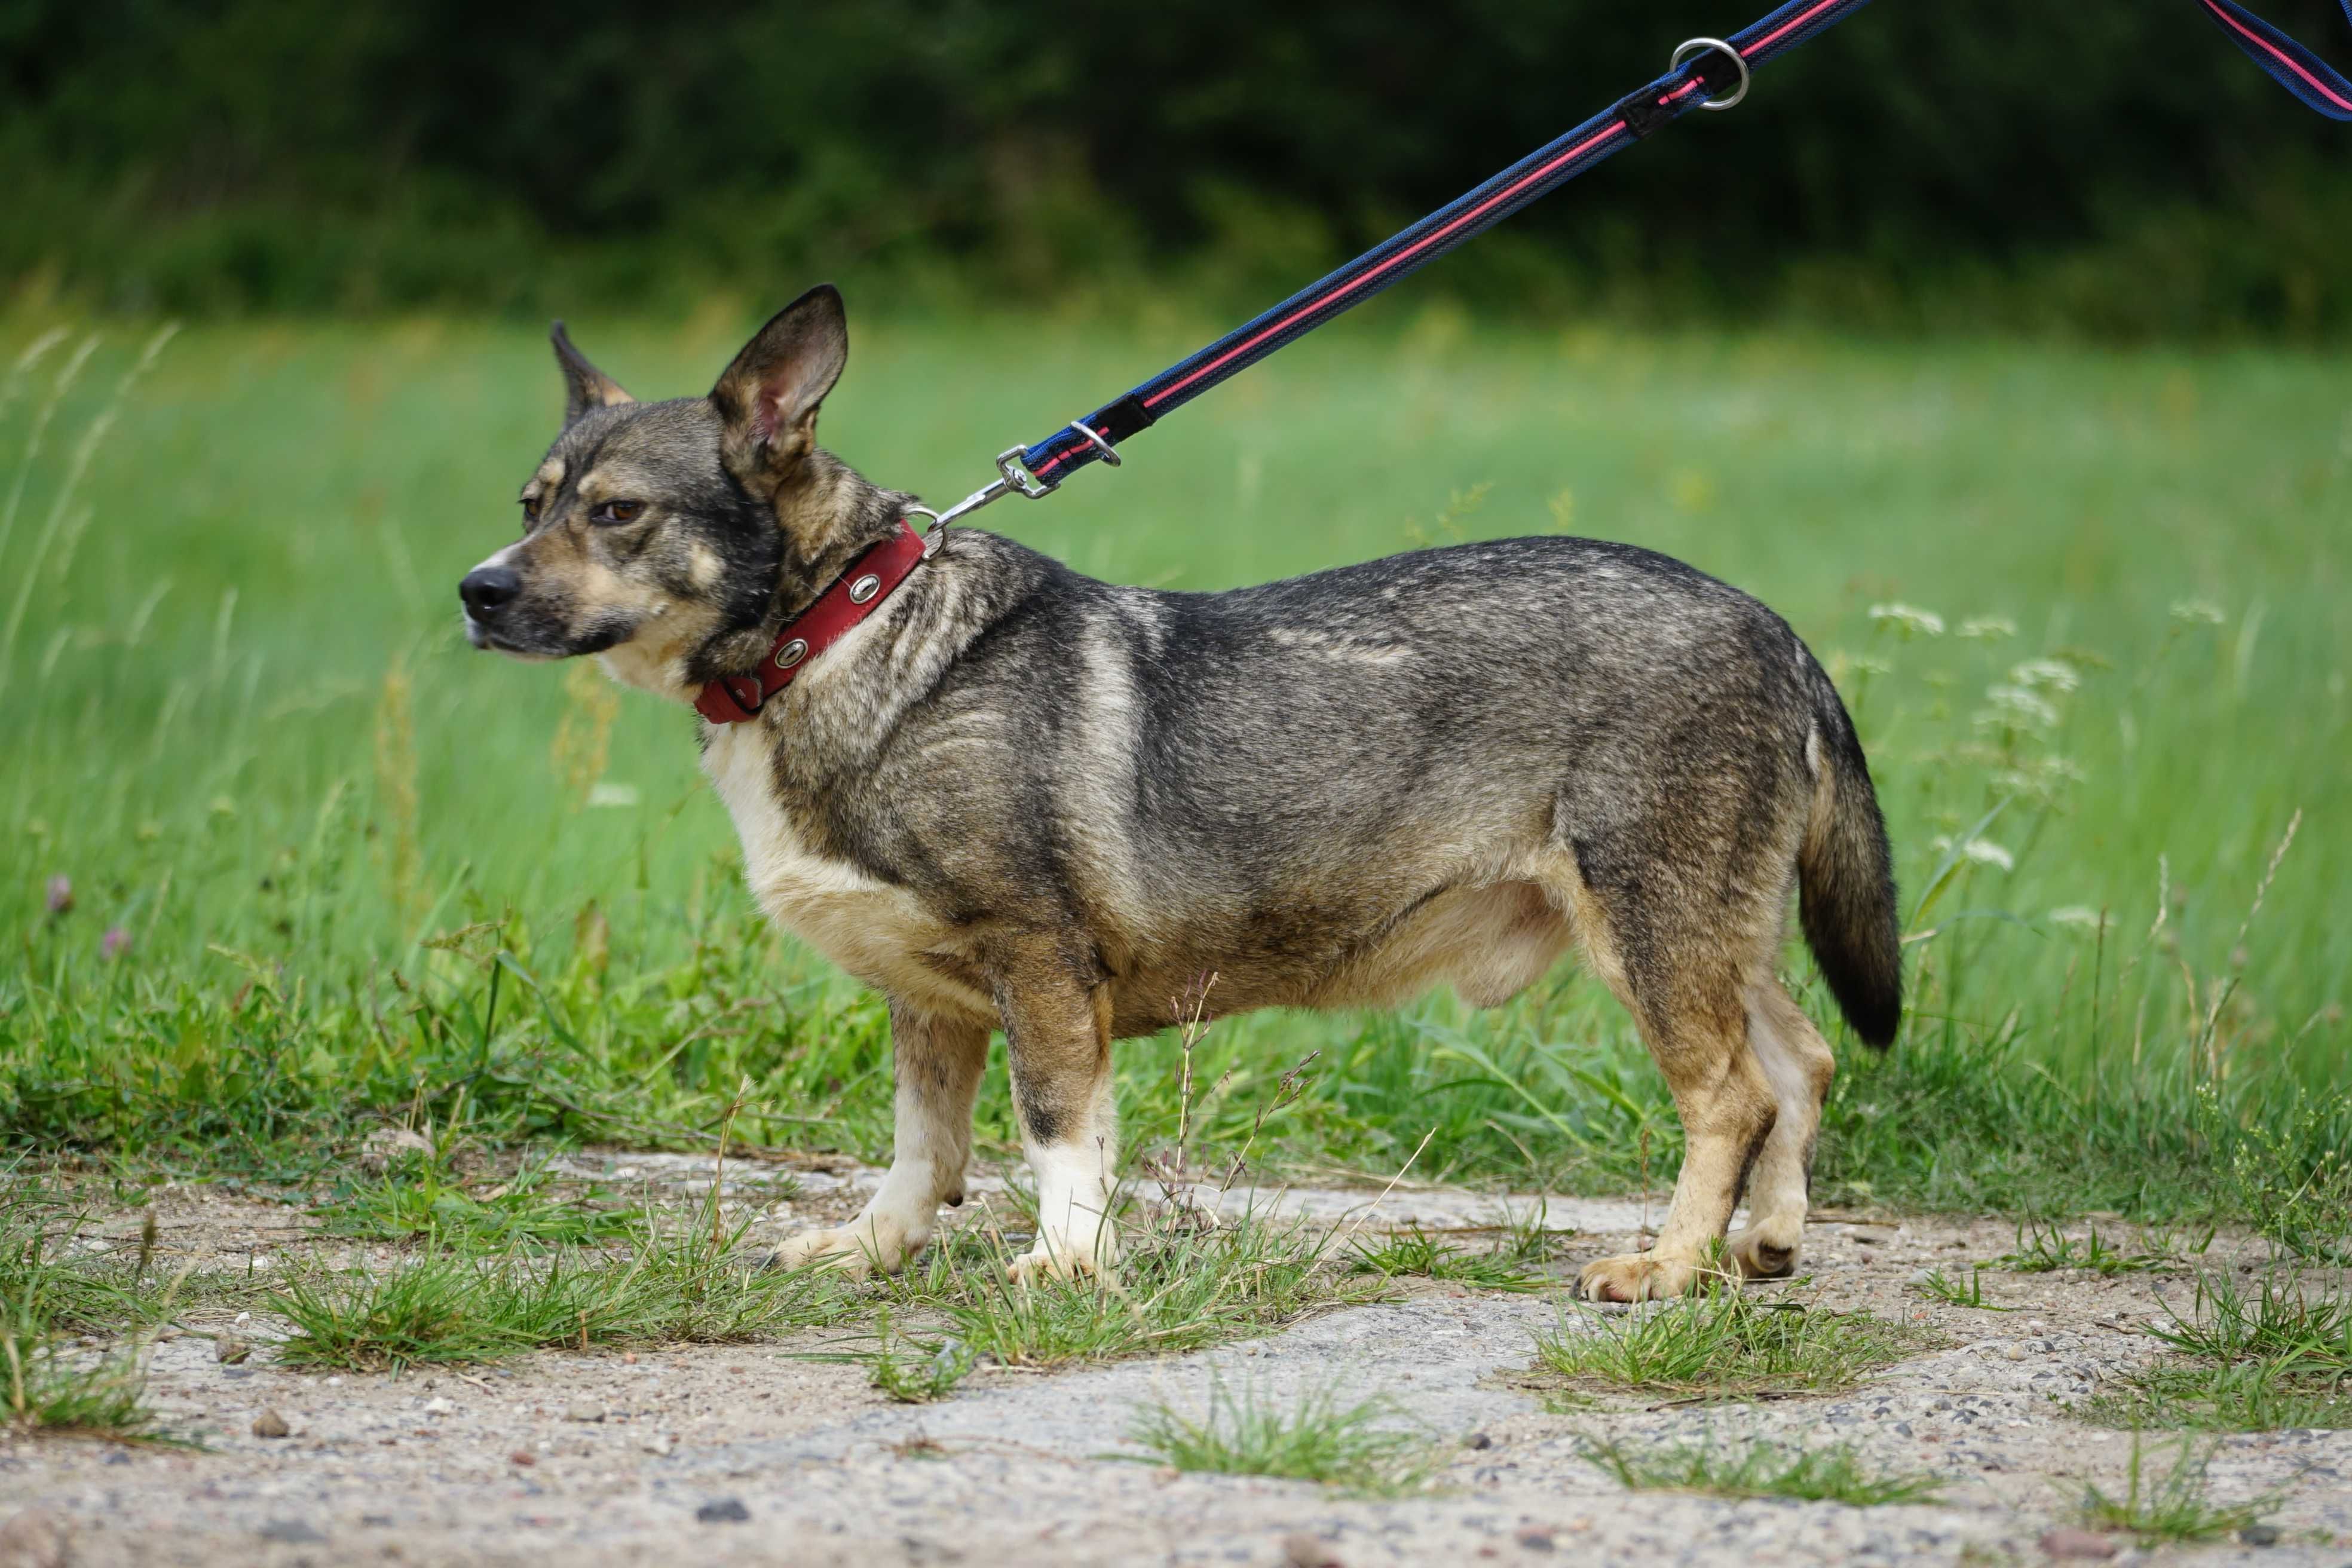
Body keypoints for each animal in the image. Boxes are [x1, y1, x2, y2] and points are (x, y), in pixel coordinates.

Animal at [463, 285, 1910, 1297]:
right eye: (530, 503)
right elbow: (924, 1152)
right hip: (1710, 931)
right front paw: (874, 1249)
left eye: (617, 512)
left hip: (1649, 926)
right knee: (1801, 1057)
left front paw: (1064, 1266)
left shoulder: (1038, 965)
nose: (474, 592)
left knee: (1732, 1097)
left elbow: (1056, 1134)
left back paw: (1664, 1266)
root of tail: (1774, 626)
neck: (845, 630)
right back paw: (1765, 1242)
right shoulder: (928, 1001)